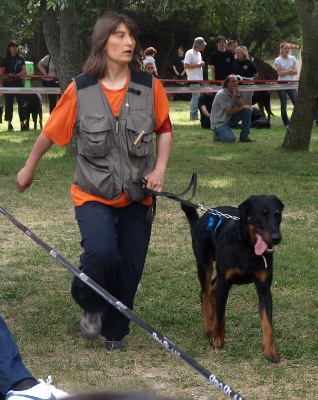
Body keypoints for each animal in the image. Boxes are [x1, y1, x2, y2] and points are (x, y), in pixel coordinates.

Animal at [183, 195, 284, 364]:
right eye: (261, 214)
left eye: (277, 214)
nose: (276, 238)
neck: (248, 248)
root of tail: (203, 217)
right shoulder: (225, 282)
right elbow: (220, 314)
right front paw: (218, 339)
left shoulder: (264, 288)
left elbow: (268, 324)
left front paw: (270, 352)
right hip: (205, 265)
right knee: (204, 293)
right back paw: (208, 328)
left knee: (212, 290)